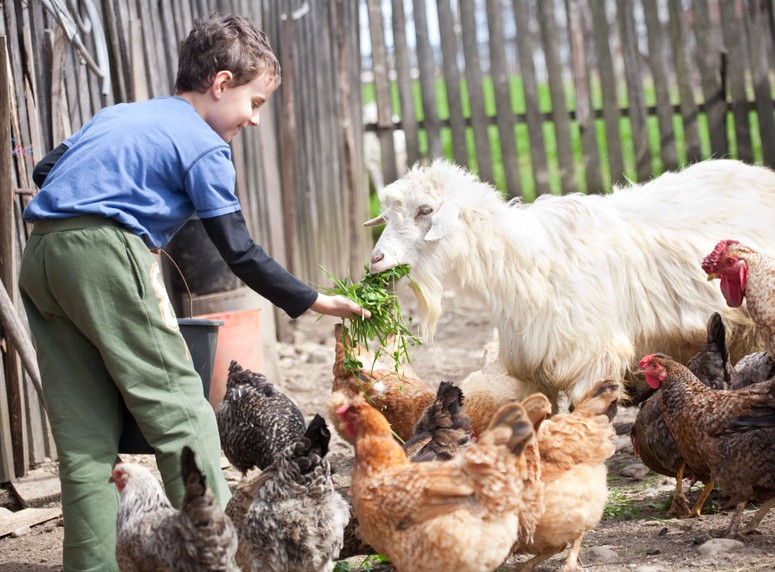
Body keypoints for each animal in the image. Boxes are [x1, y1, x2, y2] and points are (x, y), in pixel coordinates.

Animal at [366, 158, 775, 406]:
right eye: (386, 215)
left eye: (426, 210)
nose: (375, 261)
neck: (525, 262)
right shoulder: (533, 370)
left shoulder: (591, 360)